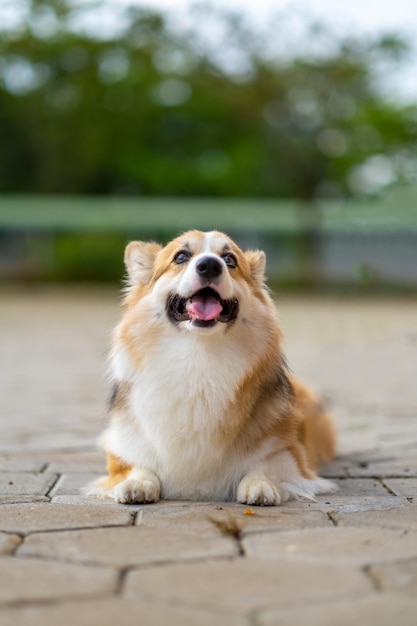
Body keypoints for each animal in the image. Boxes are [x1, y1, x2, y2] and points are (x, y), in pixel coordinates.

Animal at [89, 229, 336, 502]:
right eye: (181, 256)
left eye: (230, 260)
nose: (210, 265)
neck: (199, 355)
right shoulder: (126, 449)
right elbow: (138, 466)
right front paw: (137, 484)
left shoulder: (290, 453)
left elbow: (265, 466)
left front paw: (260, 485)